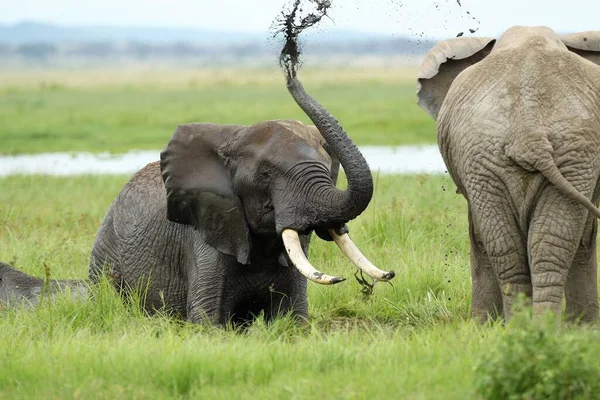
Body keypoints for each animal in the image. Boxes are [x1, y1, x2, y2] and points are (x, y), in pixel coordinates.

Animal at [89, 76, 396, 328]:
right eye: (265, 174)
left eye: (328, 167)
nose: (291, 70)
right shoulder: (207, 230)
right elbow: (207, 319)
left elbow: (292, 318)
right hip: (104, 256)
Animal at [418, 25, 600, 322]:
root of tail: (529, 129)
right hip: (513, 158)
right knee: (529, 245)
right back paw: (530, 325)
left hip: (568, 155)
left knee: (522, 245)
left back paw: (530, 325)